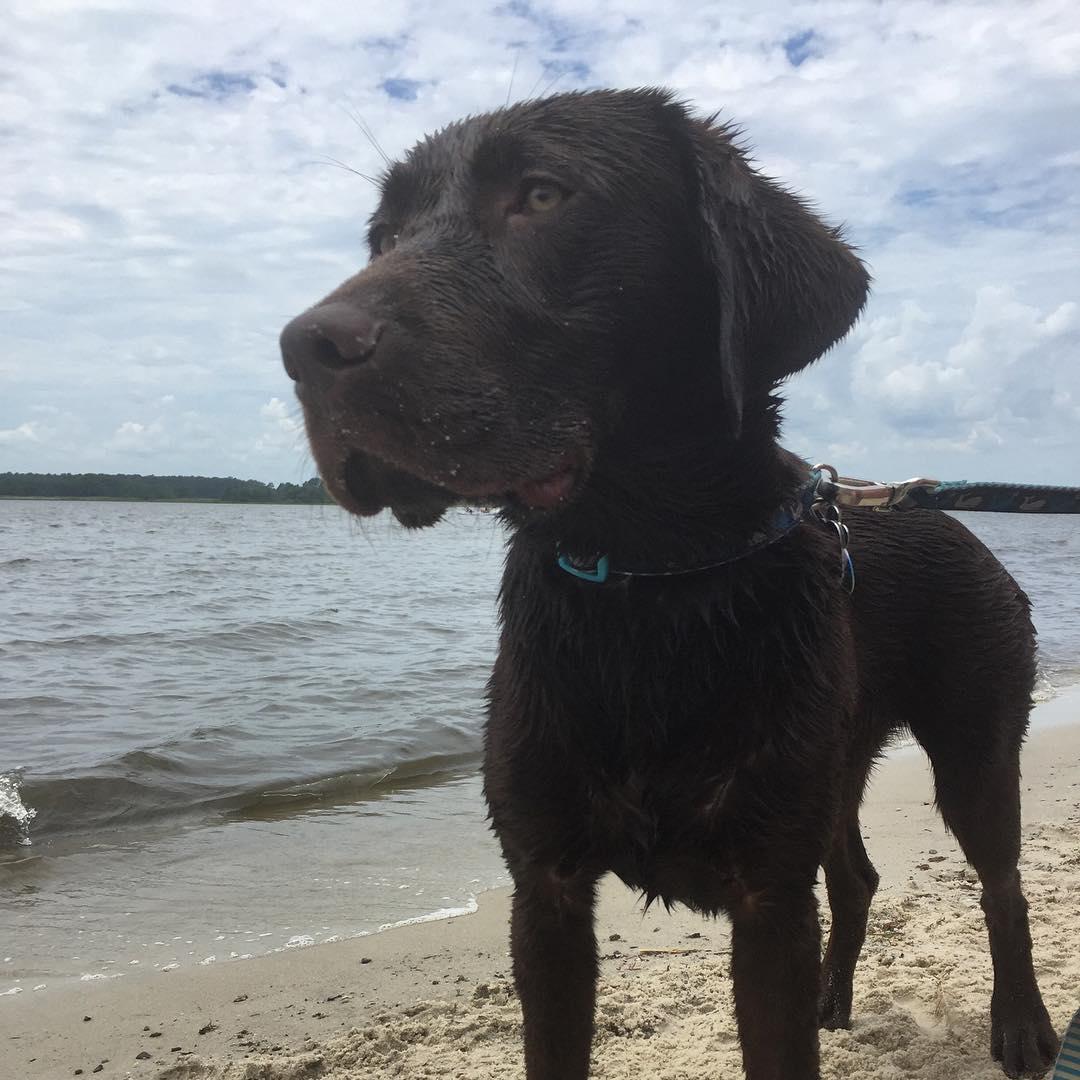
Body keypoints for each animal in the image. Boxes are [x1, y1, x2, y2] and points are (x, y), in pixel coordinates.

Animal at [280, 88, 1062, 1075]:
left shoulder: (768, 896)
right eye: (383, 234)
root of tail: (948, 513)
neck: (648, 584)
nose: (303, 348)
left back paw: (1023, 1024)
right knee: (857, 877)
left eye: (542, 195)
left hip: (974, 744)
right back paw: (836, 998)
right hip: (837, 763)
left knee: (1002, 882)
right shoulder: (545, 889)